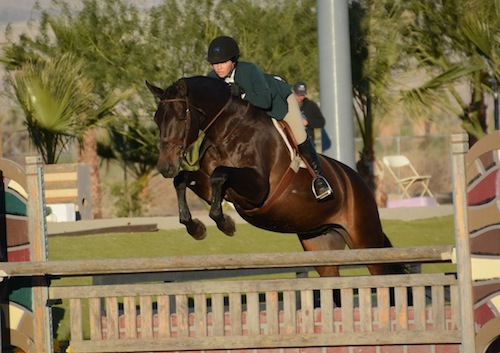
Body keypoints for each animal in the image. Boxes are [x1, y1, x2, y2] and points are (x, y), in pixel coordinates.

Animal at [146, 75, 410, 298]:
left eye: (181, 117)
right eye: (157, 118)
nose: (165, 166)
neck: (226, 130)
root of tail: (359, 183)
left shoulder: (258, 189)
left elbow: (219, 176)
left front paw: (225, 223)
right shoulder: (208, 185)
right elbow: (183, 180)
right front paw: (195, 227)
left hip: (366, 240)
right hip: (321, 244)